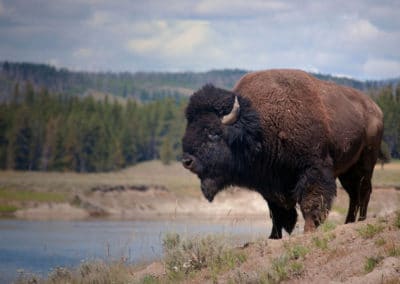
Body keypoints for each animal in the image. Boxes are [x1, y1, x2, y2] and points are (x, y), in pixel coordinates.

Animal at [182, 70, 384, 239]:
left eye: (213, 132)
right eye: (189, 127)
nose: (187, 161)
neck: (258, 126)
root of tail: (375, 109)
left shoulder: (313, 169)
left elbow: (310, 202)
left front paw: (308, 231)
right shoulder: (270, 183)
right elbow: (277, 212)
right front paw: (273, 236)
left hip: (366, 163)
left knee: (364, 190)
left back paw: (361, 221)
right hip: (347, 171)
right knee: (353, 194)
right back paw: (349, 222)